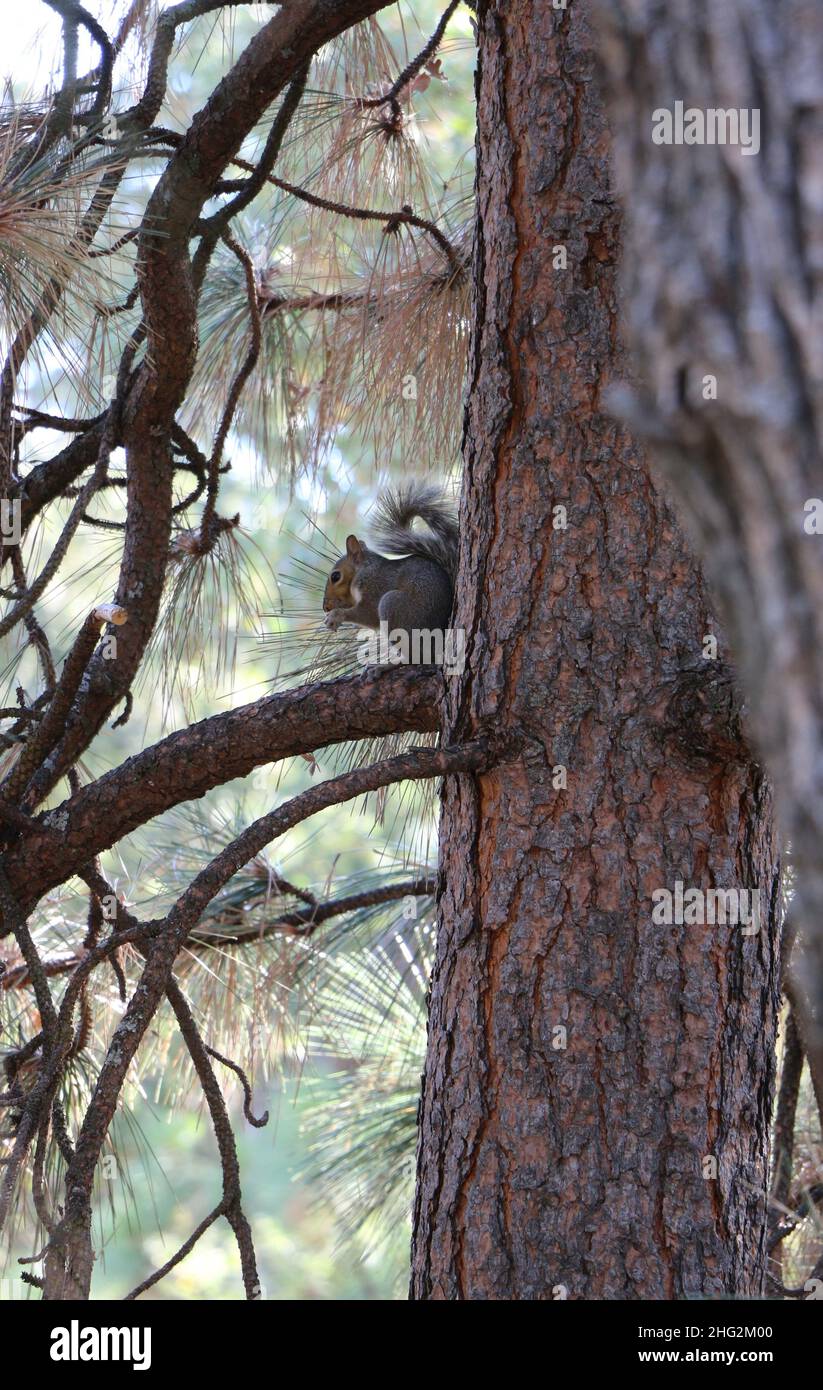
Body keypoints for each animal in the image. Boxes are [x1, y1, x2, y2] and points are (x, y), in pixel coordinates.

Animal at [323, 484, 458, 637]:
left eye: (335, 576)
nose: (325, 607)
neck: (364, 570)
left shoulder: (376, 587)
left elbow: (368, 615)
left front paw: (335, 616)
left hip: (392, 605)